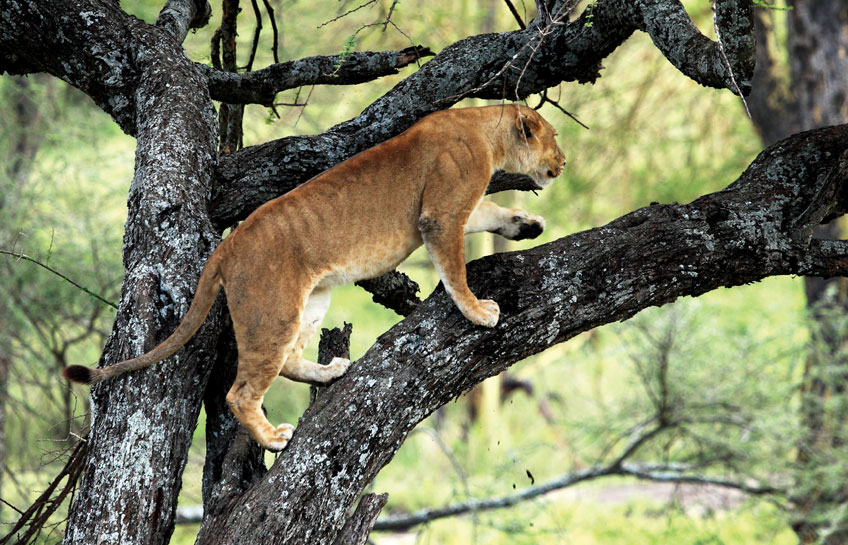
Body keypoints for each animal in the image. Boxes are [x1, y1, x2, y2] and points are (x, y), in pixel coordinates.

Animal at [63, 103, 568, 450]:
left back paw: (329, 372)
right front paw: (478, 311)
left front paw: (527, 225)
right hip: (273, 311)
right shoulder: (439, 215)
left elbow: (493, 212)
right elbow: (455, 268)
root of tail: (226, 245)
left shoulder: (459, 205)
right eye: (555, 137)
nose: (562, 164)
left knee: (288, 360)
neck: (485, 129)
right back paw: (273, 438)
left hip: (313, 301)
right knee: (240, 392)